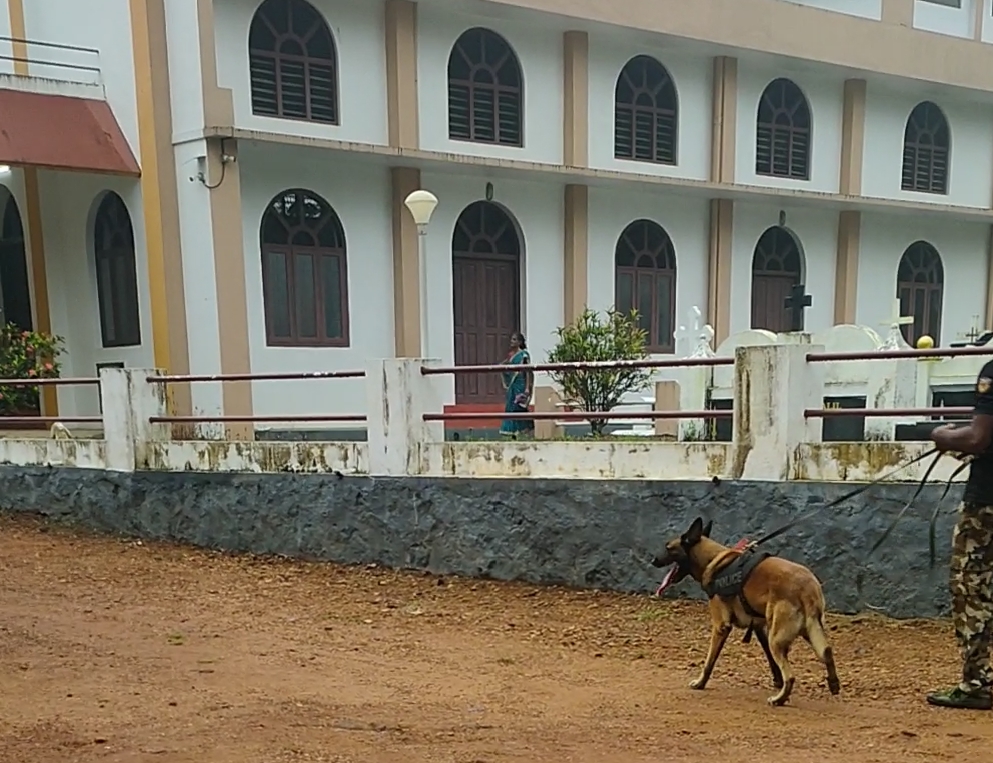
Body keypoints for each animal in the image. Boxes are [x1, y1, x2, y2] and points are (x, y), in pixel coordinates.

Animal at [652, 516, 836, 708]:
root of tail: (807, 587)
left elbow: (709, 661)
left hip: (778, 639)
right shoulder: (759, 626)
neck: (713, 560)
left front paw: (701, 682)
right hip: (807, 630)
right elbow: (769, 657)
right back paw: (833, 683)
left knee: (791, 676)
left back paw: (779, 699)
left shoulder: (720, 627)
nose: (653, 560)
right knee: (827, 651)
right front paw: (776, 680)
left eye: (668, 547)